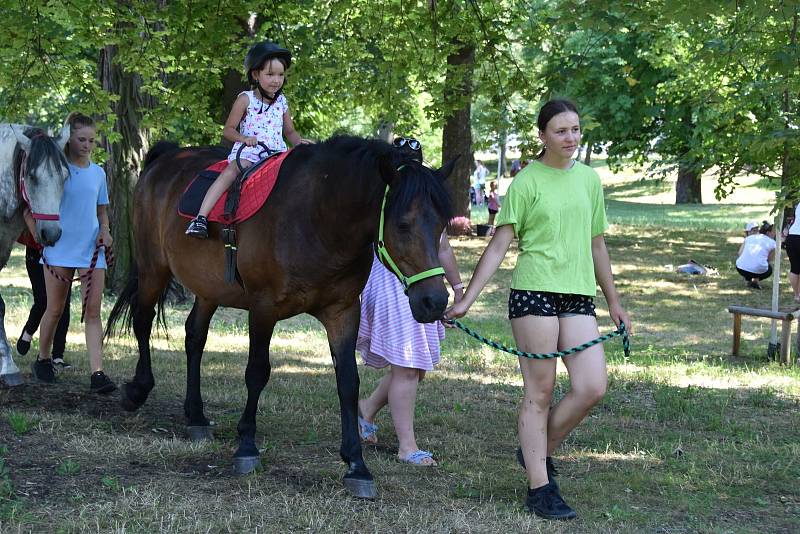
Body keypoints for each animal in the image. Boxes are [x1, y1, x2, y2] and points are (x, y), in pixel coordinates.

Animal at [107, 137, 456, 498]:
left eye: (442, 226)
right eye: (403, 224)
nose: (434, 301)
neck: (316, 219)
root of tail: (169, 156)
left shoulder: (343, 312)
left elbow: (348, 382)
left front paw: (356, 464)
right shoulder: (263, 308)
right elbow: (257, 373)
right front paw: (247, 446)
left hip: (208, 289)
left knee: (195, 338)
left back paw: (197, 416)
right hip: (153, 269)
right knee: (143, 321)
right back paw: (138, 390)